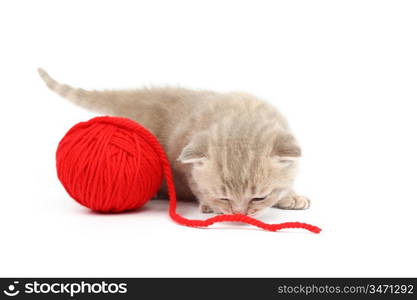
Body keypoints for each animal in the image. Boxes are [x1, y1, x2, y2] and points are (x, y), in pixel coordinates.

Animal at [37, 68, 308, 216]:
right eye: (223, 197)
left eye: (259, 198)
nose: (239, 214)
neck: (239, 113)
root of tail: (146, 97)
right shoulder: (182, 157)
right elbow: (196, 184)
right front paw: (208, 204)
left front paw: (291, 196)